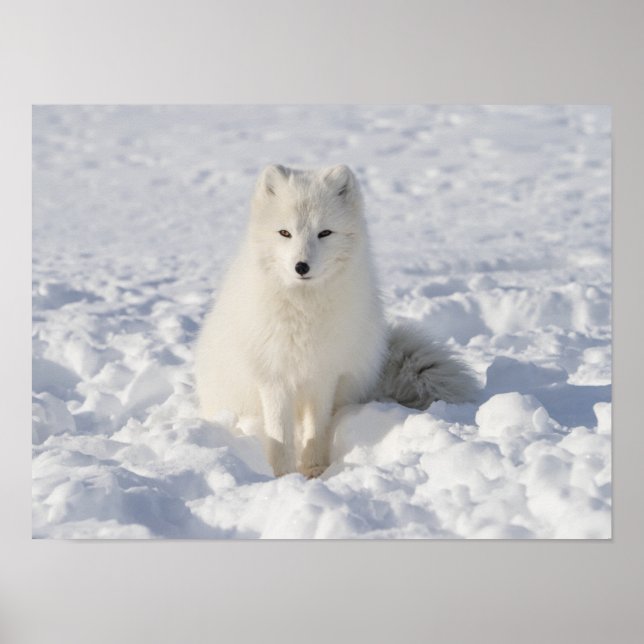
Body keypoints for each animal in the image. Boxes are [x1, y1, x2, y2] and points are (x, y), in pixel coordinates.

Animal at [195, 164, 477, 477]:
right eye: (285, 233)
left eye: (325, 233)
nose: (301, 266)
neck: (304, 311)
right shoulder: (273, 376)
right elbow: (279, 435)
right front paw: (283, 476)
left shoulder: (324, 374)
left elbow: (315, 428)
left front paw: (314, 470)